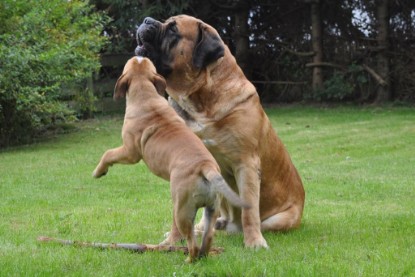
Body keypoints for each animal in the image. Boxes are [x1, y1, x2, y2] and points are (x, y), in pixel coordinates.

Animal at [92, 56, 249, 260]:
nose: (138, 53)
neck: (144, 92)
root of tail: (206, 167)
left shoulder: (129, 152)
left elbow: (108, 153)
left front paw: (99, 171)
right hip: (211, 210)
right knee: (207, 238)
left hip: (182, 210)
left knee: (191, 241)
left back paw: (187, 259)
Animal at [136, 15, 306, 248]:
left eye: (173, 30)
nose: (146, 20)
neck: (200, 101)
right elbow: (177, 211)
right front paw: (171, 242)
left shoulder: (246, 163)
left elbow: (249, 209)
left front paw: (254, 243)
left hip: (281, 218)